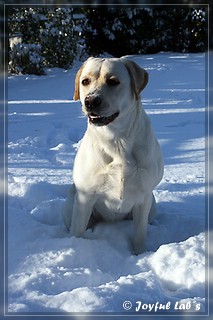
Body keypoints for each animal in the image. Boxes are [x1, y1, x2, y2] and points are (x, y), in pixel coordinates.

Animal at [62, 56, 164, 254]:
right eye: (85, 81)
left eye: (113, 81)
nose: (91, 101)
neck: (117, 141)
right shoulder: (85, 197)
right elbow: (77, 231)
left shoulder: (143, 198)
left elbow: (140, 235)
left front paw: (139, 255)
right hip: (70, 204)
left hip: (152, 205)